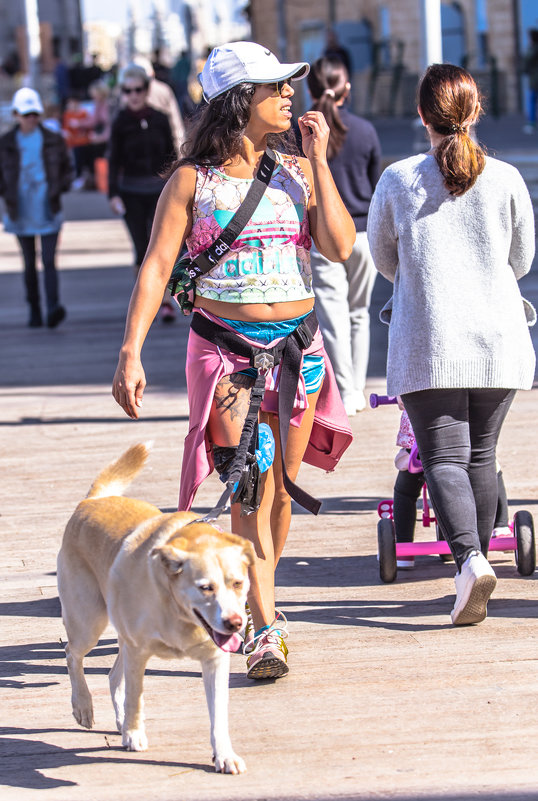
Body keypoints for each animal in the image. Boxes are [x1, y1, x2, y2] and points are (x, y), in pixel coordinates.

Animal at [56, 440, 253, 772]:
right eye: (206, 587)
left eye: (238, 583)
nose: (235, 623)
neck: (178, 613)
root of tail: (93, 500)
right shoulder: (139, 651)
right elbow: (135, 696)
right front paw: (135, 735)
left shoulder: (215, 660)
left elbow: (218, 717)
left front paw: (224, 754)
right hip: (88, 623)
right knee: (73, 655)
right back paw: (84, 706)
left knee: (112, 676)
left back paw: (118, 721)